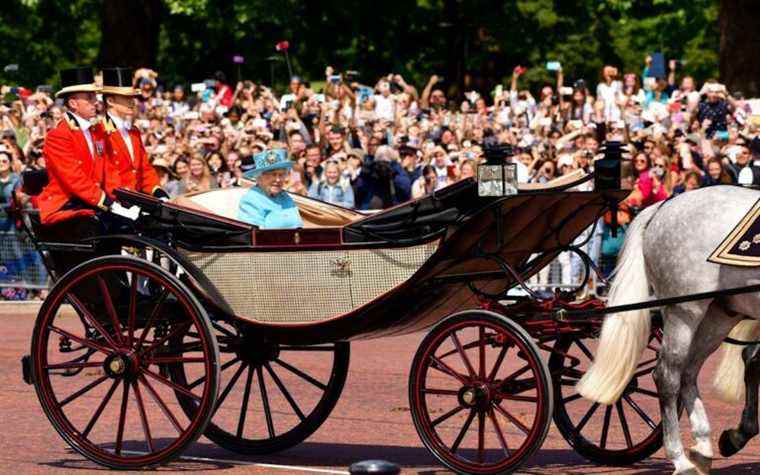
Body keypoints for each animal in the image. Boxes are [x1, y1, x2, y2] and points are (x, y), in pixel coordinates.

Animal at [576, 187, 760, 475]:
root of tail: (664, 205)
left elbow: (752, 360)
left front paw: (736, 435)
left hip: (717, 315)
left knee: (689, 371)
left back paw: (703, 445)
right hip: (683, 311)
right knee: (667, 375)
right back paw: (680, 458)